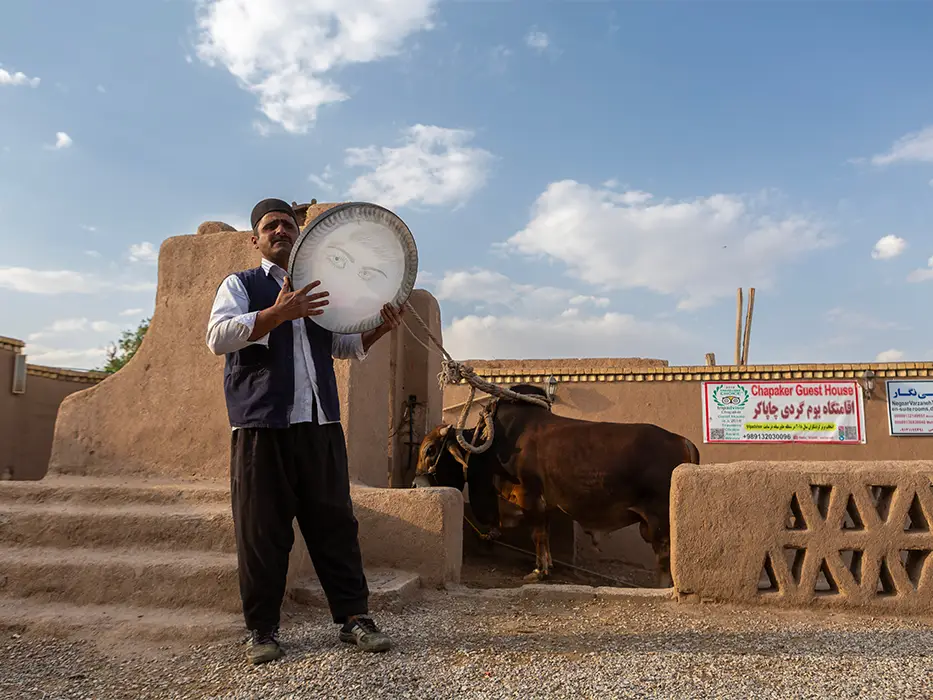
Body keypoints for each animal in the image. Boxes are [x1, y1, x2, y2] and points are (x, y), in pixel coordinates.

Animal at [416, 386, 700, 584]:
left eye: (430, 450)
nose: (416, 484)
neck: (490, 446)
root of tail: (682, 440)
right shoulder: (543, 505)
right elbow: (546, 535)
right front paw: (548, 566)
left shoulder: (530, 497)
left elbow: (538, 535)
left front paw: (538, 571)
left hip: (658, 519)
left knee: (664, 555)